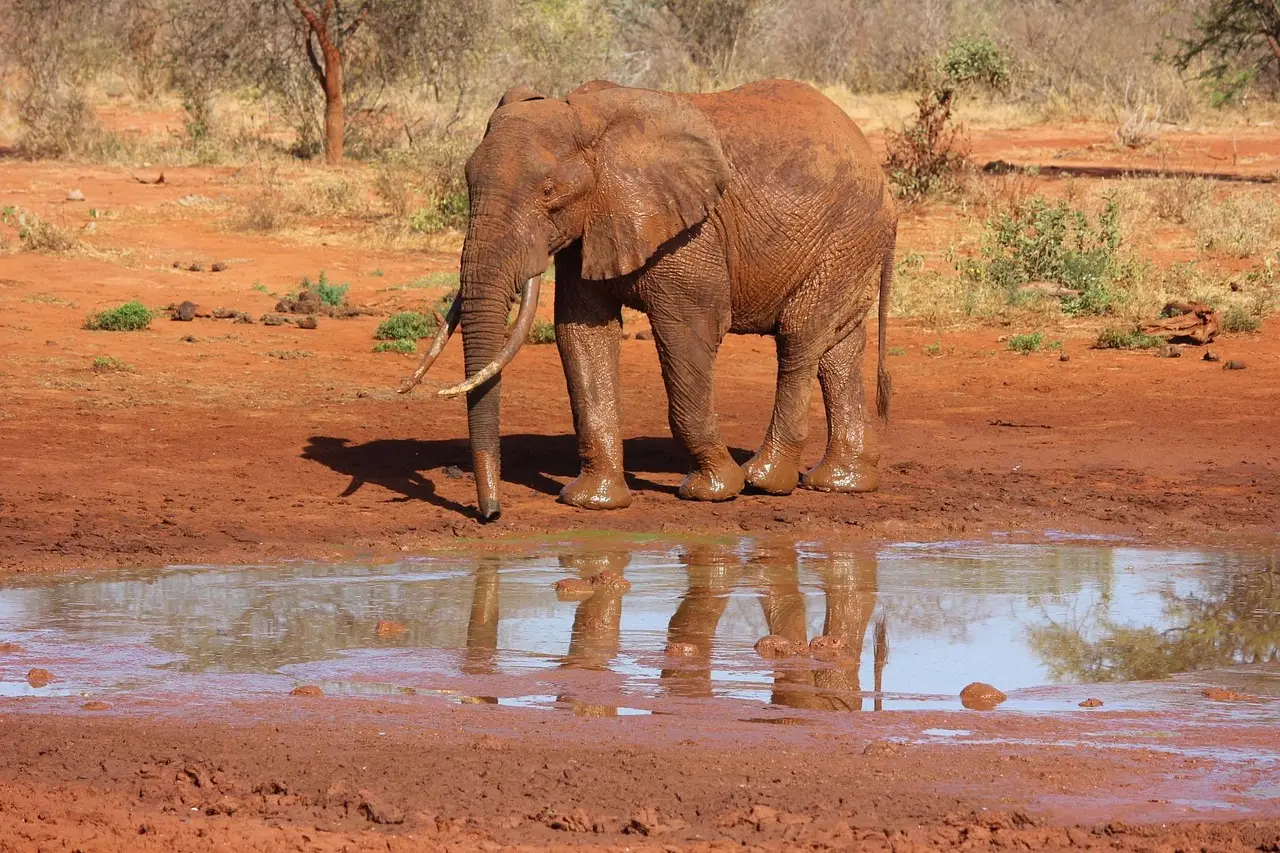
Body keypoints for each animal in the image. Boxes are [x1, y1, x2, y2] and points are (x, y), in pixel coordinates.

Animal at [402, 78, 898, 520]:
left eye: (548, 192)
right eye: (467, 182)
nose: (491, 514)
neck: (589, 121)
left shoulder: (689, 234)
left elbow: (689, 331)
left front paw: (712, 490)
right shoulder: (594, 224)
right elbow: (583, 335)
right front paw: (591, 502)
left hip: (845, 233)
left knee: (799, 337)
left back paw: (765, 480)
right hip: (851, 244)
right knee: (837, 348)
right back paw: (841, 483)